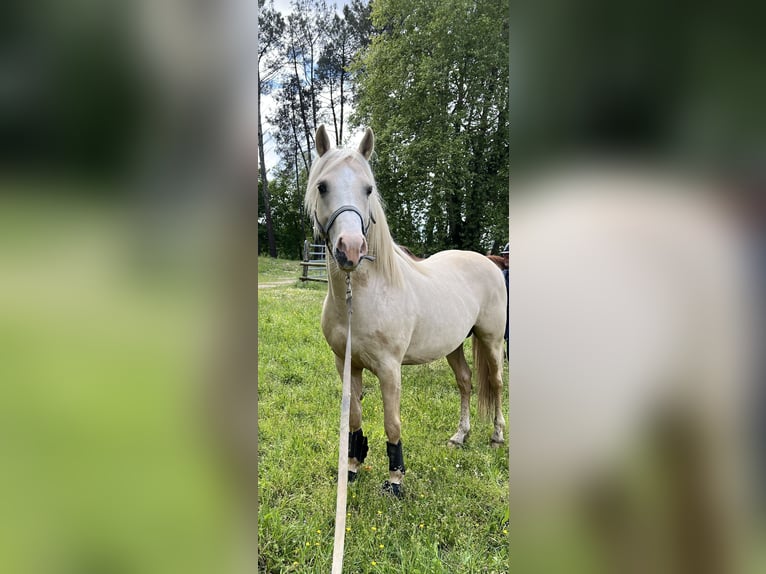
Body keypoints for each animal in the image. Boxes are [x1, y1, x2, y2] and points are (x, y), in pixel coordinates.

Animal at [306, 125, 510, 496]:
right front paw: (353, 466)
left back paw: (496, 436)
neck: (364, 296)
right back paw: (460, 436)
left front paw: (395, 479)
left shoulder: (390, 370)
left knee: (497, 384)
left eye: (368, 189)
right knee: (465, 382)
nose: (351, 249)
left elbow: (392, 422)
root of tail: (490, 261)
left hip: (491, 340)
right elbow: (354, 417)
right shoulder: (347, 364)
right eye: (322, 186)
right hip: (454, 345)